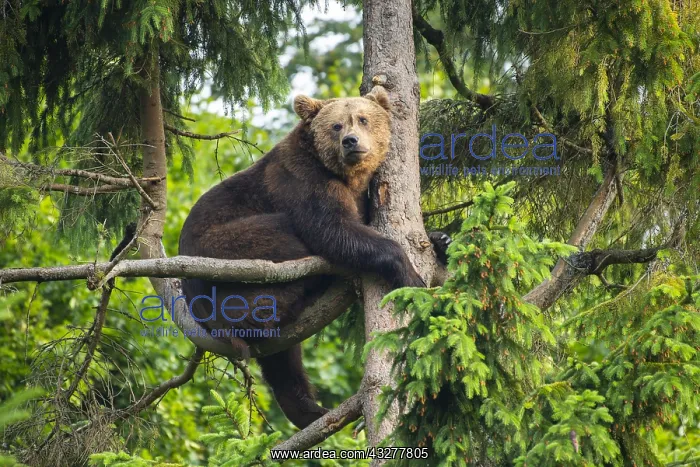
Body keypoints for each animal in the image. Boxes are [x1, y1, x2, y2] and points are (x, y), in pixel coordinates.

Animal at [178, 88, 447, 429]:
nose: (351, 142)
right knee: (278, 248)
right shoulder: (302, 179)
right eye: (336, 125)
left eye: (363, 118)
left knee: (283, 359)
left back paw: (309, 408)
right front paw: (410, 275)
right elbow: (333, 230)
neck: (346, 176)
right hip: (221, 245)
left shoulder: (359, 195)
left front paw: (441, 240)